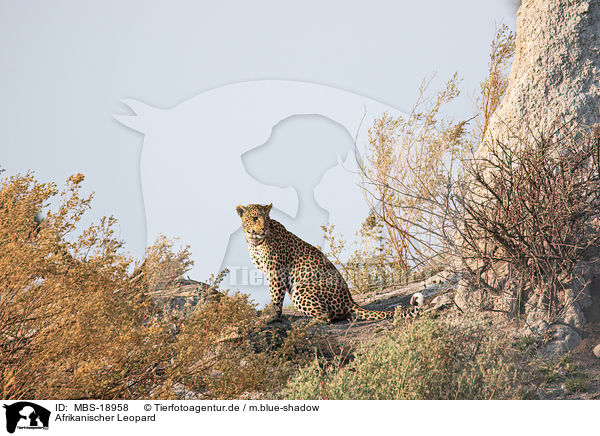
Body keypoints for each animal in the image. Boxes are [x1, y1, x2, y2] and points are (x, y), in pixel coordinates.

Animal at [234, 203, 422, 322]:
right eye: (256, 218)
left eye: (266, 218)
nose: (263, 228)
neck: (254, 240)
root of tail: (350, 301)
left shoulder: (275, 270)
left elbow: (275, 295)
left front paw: (272, 314)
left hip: (301, 288)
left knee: (327, 317)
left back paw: (309, 322)